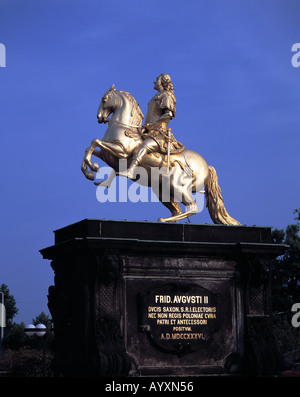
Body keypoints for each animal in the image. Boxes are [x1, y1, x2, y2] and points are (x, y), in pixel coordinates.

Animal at [81, 84, 240, 224]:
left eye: (104, 99)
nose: (99, 117)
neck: (124, 127)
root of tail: (207, 167)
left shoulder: (122, 151)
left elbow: (95, 142)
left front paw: (93, 168)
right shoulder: (108, 155)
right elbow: (89, 148)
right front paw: (90, 172)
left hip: (177, 186)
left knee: (192, 208)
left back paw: (164, 219)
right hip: (162, 190)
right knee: (178, 210)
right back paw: (166, 219)